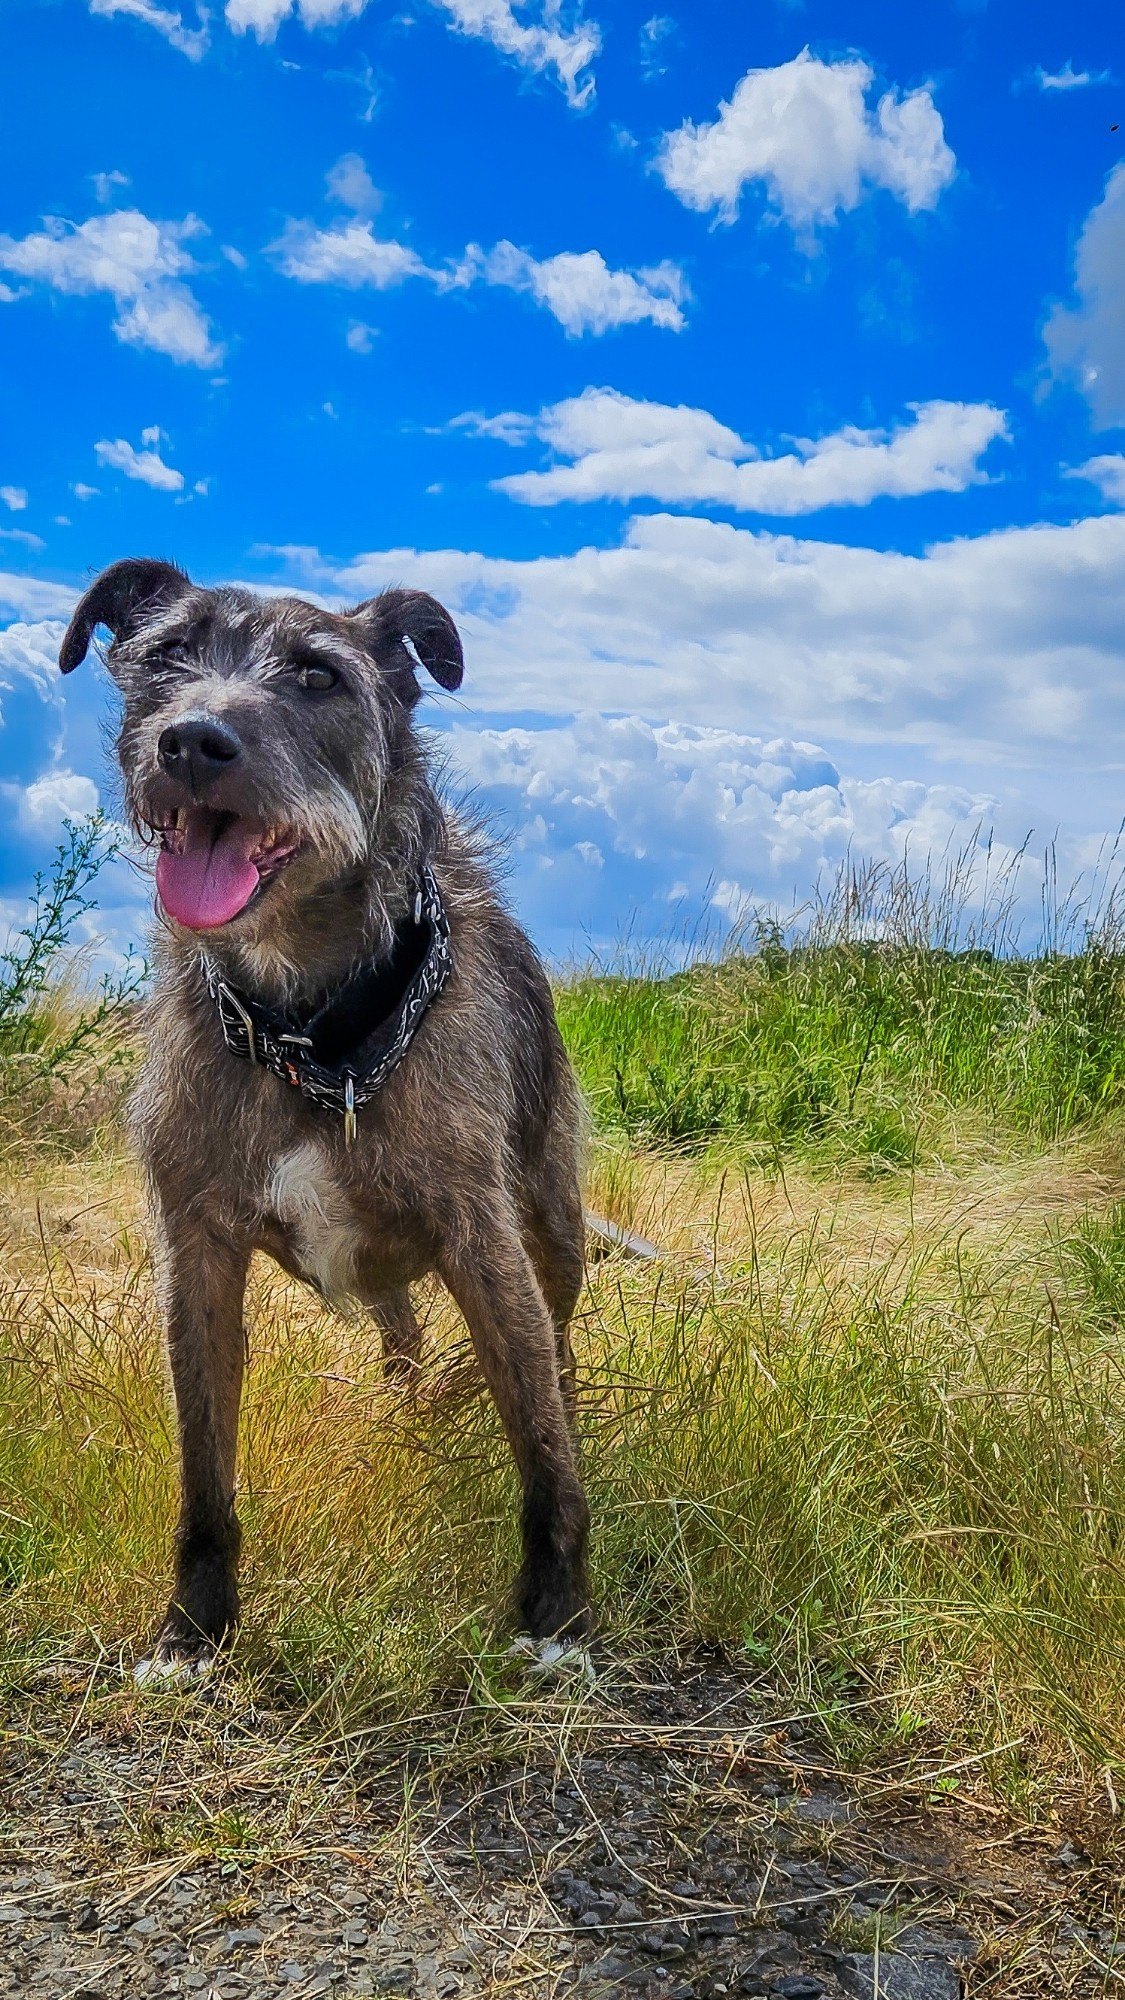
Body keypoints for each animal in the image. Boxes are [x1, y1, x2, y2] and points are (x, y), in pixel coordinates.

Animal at [58, 556, 592, 1680]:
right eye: (169, 655)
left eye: (317, 677)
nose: (193, 743)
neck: (311, 1033)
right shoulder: (197, 1255)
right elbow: (204, 1473)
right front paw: (194, 1628)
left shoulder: (483, 1239)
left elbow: (540, 1443)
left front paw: (557, 1616)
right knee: (403, 1335)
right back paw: (404, 1406)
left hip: (552, 1227)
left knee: (556, 1344)